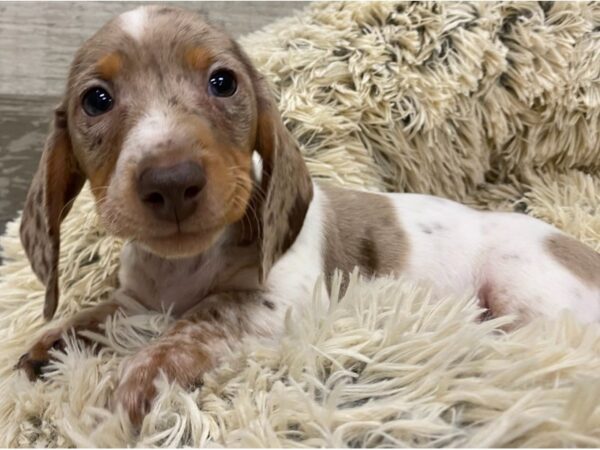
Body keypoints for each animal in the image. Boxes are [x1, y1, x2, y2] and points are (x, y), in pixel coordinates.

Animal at [16, 5, 600, 424]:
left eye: (223, 82)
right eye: (96, 100)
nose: (172, 181)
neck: (185, 264)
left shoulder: (274, 301)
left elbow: (199, 320)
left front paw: (145, 375)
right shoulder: (138, 299)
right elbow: (100, 315)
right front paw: (50, 345)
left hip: (524, 292)